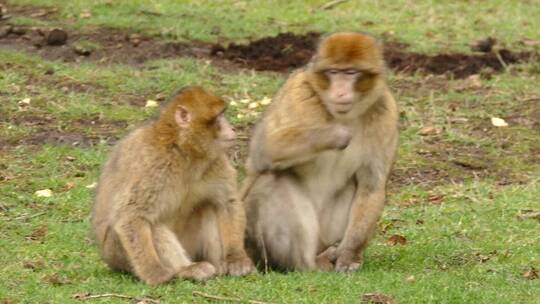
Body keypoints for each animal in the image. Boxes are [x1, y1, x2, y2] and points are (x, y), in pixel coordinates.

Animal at [91, 86, 255, 284]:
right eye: (218, 117)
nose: (232, 128)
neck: (182, 150)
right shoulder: (151, 164)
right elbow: (131, 216)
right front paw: (154, 273)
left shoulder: (216, 161)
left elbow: (227, 202)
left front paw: (235, 259)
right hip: (118, 254)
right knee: (152, 224)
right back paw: (186, 269)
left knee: (208, 205)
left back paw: (219, 265)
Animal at [243, 32, 398, 272]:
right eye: (333, 72)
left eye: (351, 72)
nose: (341, 91)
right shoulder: (299, 94)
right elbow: (264, 148)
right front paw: (336, 133)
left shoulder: (386, 113)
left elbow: (371, 186)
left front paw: (348, 256)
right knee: (272, 179)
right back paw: (309, 265)